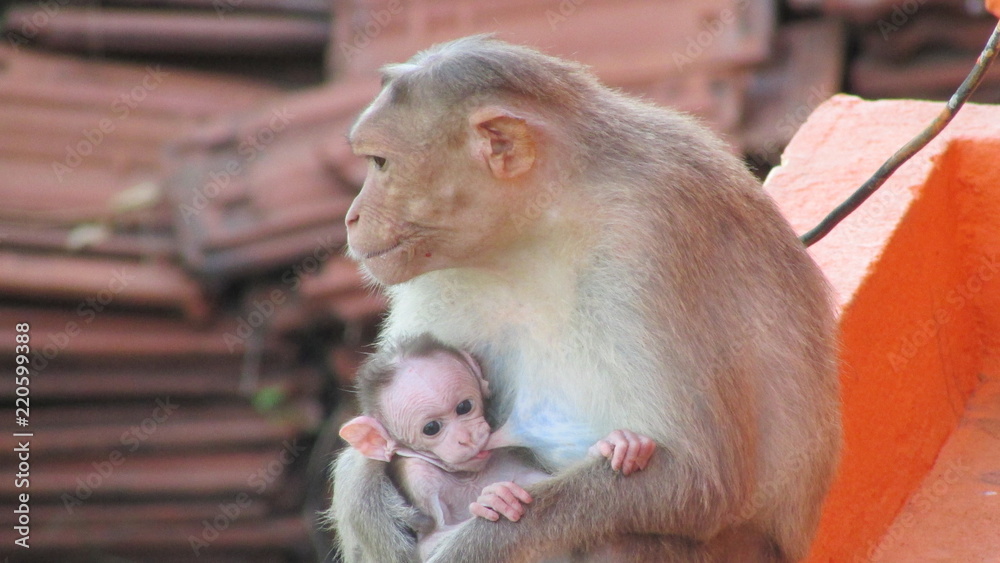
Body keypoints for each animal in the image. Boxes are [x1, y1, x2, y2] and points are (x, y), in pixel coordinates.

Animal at [339, 333, 657, 560]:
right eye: (431, 428)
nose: (467, 436)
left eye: (464, 407)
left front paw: (617, 445)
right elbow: (426, 545)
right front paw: (493, 499)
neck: (466, 475)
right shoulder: (419, 477)